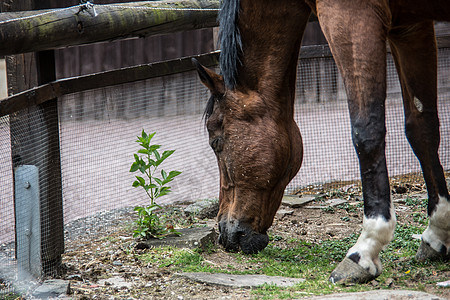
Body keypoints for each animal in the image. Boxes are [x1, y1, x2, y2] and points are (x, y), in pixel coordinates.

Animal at [195, 0, 450, 282]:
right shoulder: (411, 27)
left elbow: (366, 131)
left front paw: (365, 249)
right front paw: (437, 233)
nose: (226, 234)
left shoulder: (351, 17)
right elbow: (422, 128)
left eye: (216, 142)